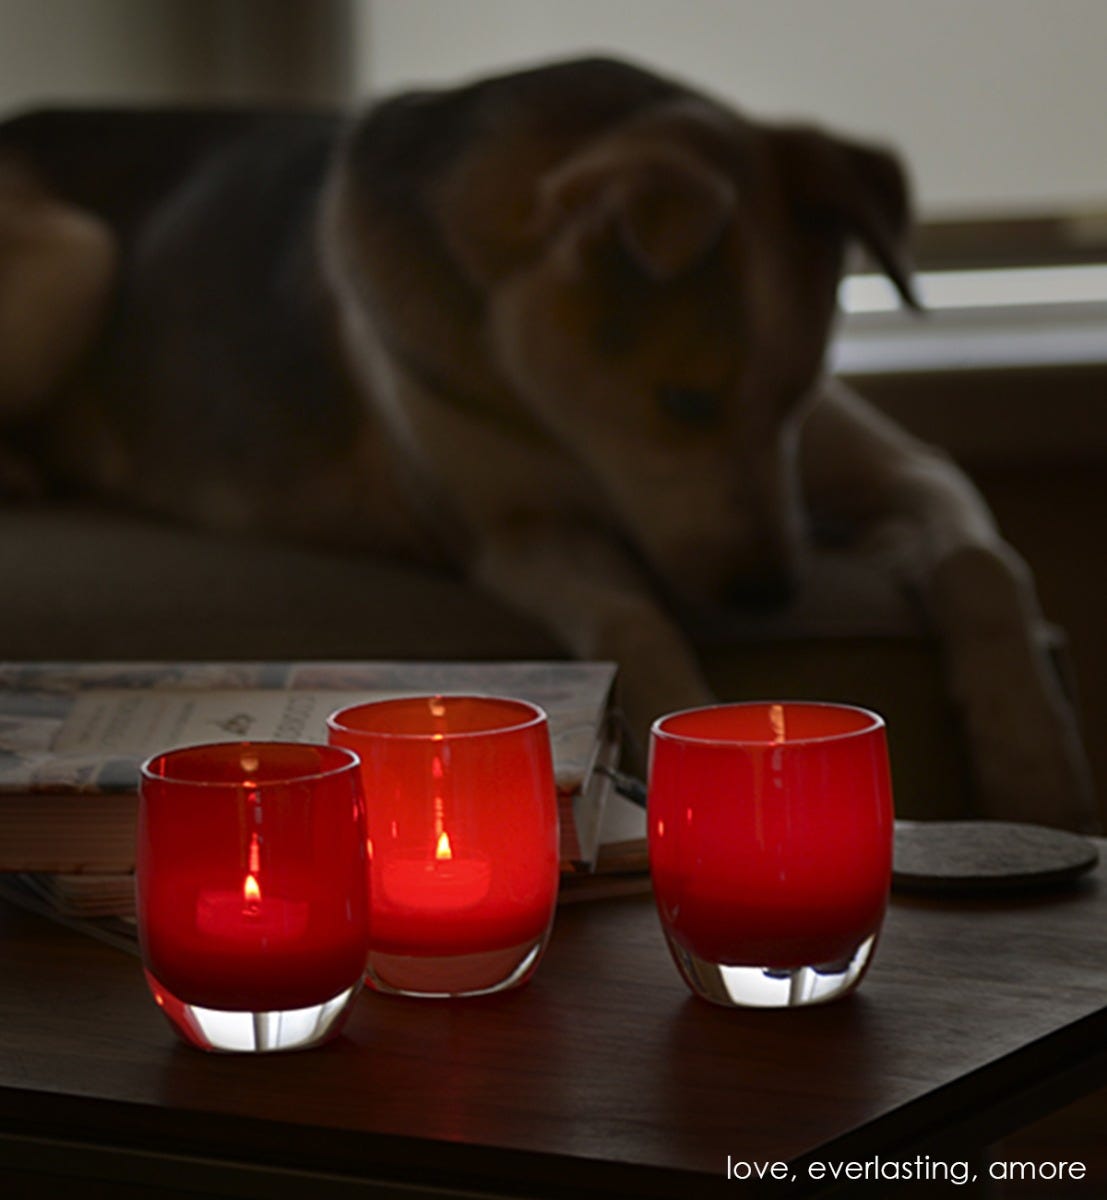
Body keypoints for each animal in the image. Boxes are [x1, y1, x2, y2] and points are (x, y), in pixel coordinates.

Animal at [0, 56, 1090, 825]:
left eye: (796, 392)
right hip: (81, 258)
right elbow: (629, 619)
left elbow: (982, 563)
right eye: (682, 402)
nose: (772, 594)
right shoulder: (516, 532)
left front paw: (1033, 759)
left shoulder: (900, 471)